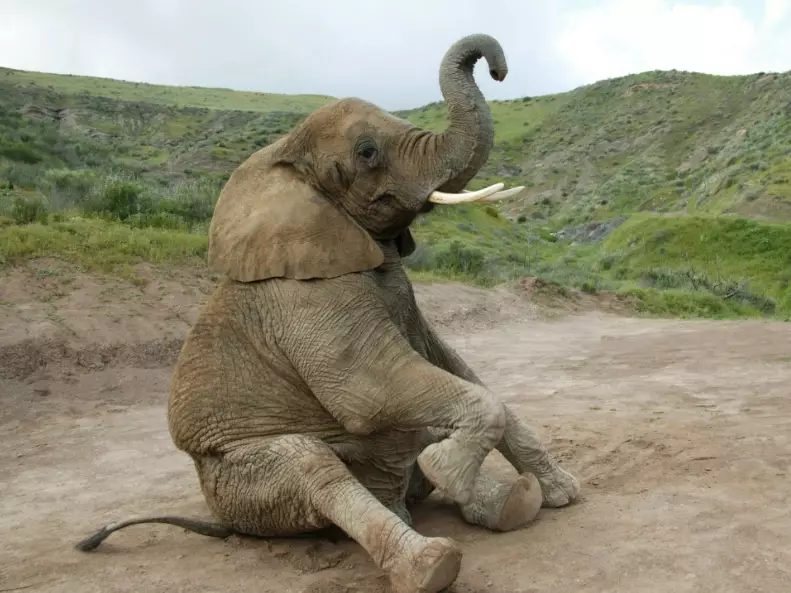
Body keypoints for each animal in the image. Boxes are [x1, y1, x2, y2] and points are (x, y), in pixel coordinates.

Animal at [74, 33, 580, 593]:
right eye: (367, 152)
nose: (498, 68)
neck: (282, 156)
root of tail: (223, 521)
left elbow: (457, 370)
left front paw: (563, 493)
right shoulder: (305, 297)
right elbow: (369, 391)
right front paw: (446, 469)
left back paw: (513, 502)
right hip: (243, 483)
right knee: (314, 468)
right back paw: (430, 562)